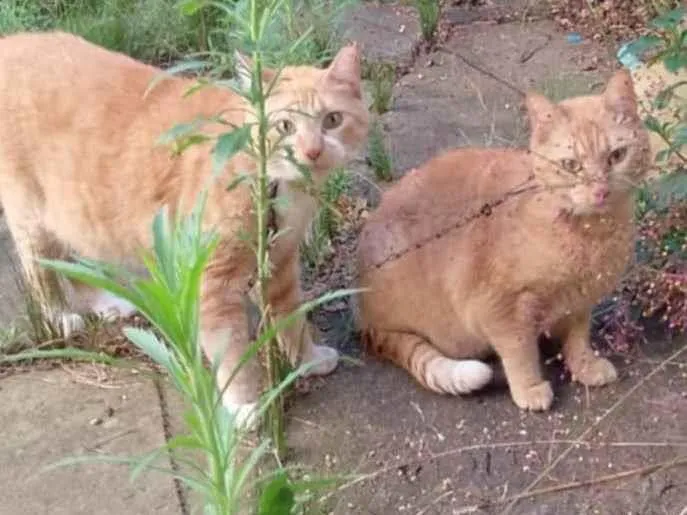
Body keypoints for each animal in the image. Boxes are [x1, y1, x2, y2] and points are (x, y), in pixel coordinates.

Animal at [0, 31, 370, 428]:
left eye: (332, 120)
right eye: (284, 126)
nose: (312, 152)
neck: (268, 180)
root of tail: (14, 40)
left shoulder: (280, 264)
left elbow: (291, 320)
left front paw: (308, 360)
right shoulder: (213, 283)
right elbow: (231, 354)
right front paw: (243, 407)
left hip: (79, 215)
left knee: (76, 261)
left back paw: (105, 303)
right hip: (33, 218)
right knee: (41, 270)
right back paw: (60, 316)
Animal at [358, 69, 652, 412]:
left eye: (616, 156)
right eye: (571, 165)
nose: (600, 190)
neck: (591, 236)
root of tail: (363, 318)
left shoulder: (579, 301)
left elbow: (578, 339)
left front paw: (585, 366)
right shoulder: (500, 308)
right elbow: (520, 352)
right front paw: (530, 388)